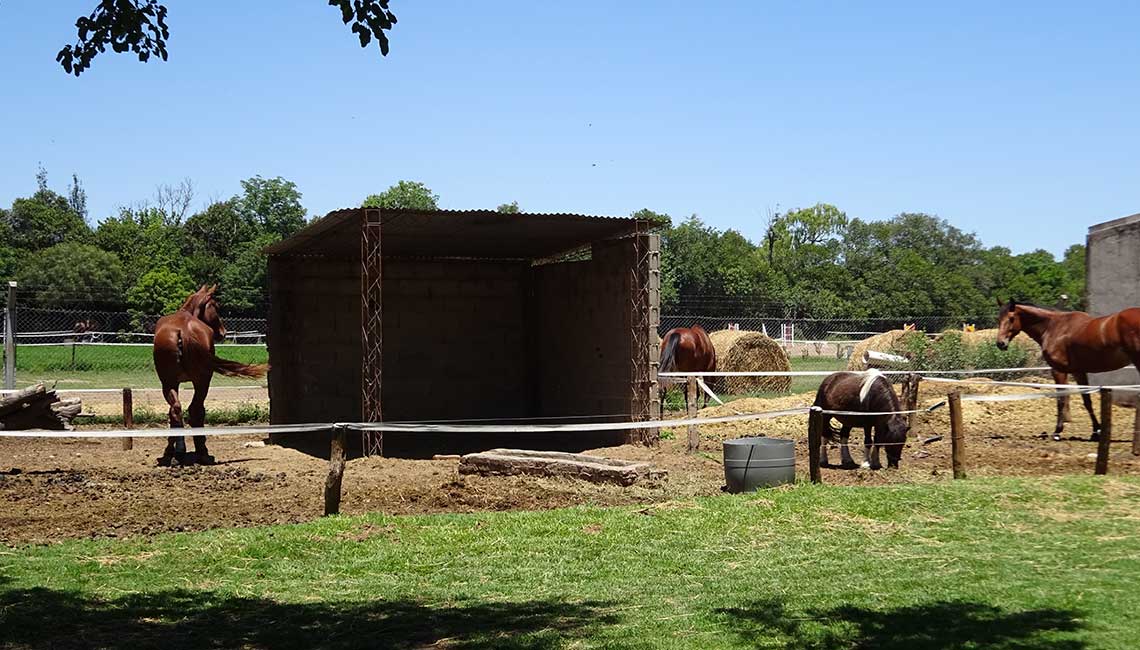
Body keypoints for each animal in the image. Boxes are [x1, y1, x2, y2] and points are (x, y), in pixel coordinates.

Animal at [994, 298, 1140, 440]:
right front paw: (1096, 431)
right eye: (999, 319)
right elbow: (1087, 400)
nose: (1000, 343)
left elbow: (1061, 400)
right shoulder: (1078, 372)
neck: (1053, 327)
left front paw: (1057, 432)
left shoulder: (1058, 371)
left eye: (1011, 318)